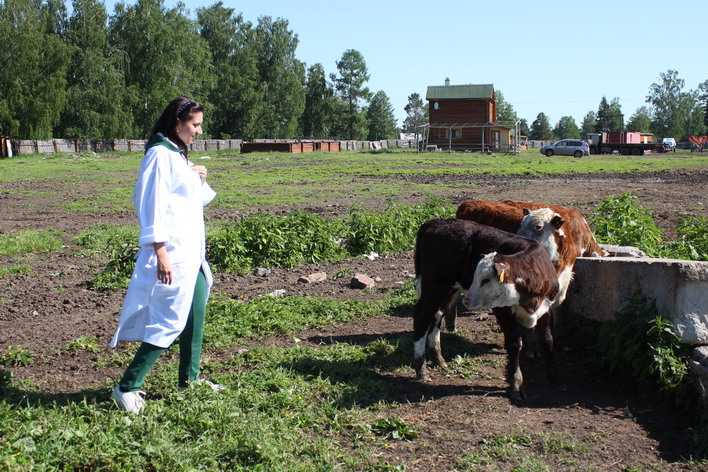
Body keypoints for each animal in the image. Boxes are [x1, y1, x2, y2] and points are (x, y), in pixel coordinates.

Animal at [414, 219, 560, 400]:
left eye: (485, 279)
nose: (467, 300)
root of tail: (434, 223)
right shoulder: (504, 312)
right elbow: (514, 345)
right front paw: (515, 383)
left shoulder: (547, 309)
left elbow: (548, 340)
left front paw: (553, 376)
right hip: (434, 286)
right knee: (422, 316)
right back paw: (421, 368)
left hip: (449, 289)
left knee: (437, 315)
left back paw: (439, 358)